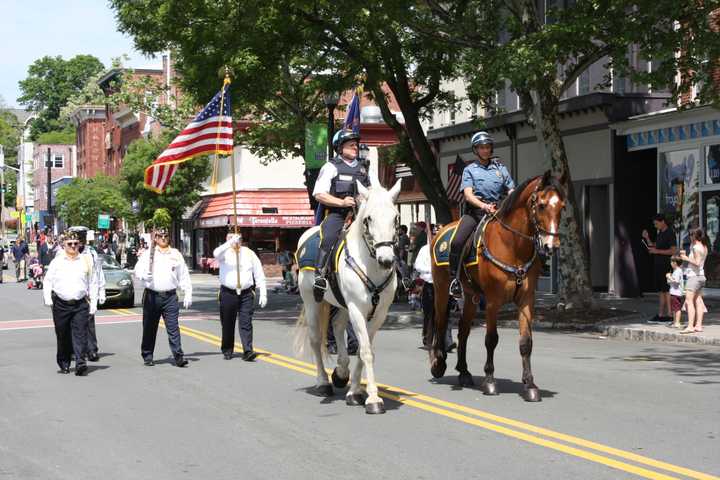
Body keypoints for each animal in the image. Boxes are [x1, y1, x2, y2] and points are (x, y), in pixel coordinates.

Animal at [296, 176, 402, 412]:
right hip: (311, 300)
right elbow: (366, 352)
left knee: (336, 326)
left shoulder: (378, 313)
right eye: (369, 219)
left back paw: (341, 373)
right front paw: (373, 399)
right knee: (316, 339)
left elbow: (364, 349)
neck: (370, 265)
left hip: (342, 304)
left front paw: (355, 391)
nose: (386, 260)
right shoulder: (357, 309)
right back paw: (323, 383)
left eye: (395, 218)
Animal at [430, 171, 564, 404]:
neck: (513, 246)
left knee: (463, 331)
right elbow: (491, 339)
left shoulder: (526, 300)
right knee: (440, 322)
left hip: (472, 297)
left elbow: (526, 342)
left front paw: (530, 385)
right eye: (542, 205)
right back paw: (438, 364)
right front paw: (490, 381)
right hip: (441, 288)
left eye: (562, 207)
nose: (551, 246)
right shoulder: (493, 301)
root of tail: (441, 231)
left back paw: (464, 372)